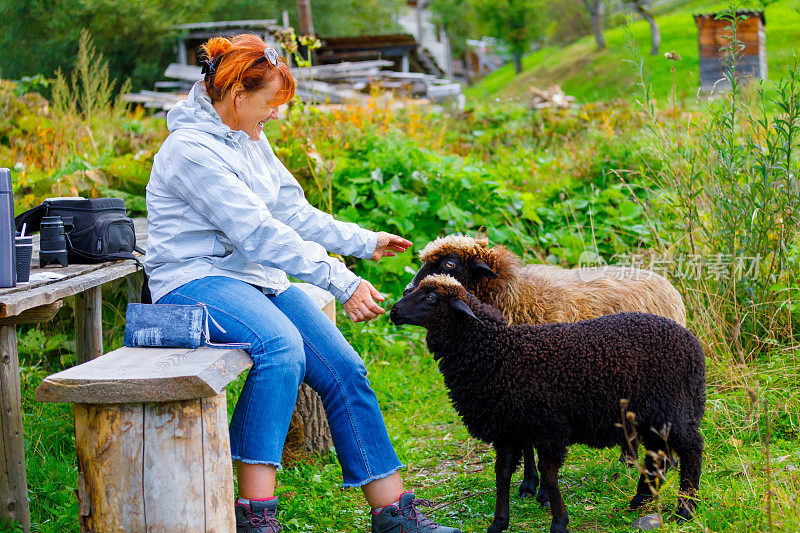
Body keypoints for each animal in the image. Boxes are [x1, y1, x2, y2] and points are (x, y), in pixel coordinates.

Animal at [390, 274, 708, 532]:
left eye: (431, 298)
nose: (393, 311)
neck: (498, 352)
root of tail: (692, 343)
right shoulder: (507, 429)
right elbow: (502, 473)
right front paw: (499, 522)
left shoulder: (549, 428)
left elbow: (550, 476)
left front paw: (558, 522)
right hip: (651, 415)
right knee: (658, 455)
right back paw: (640, 500)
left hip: (671, 408)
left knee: (690, 450)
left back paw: (685, 510)